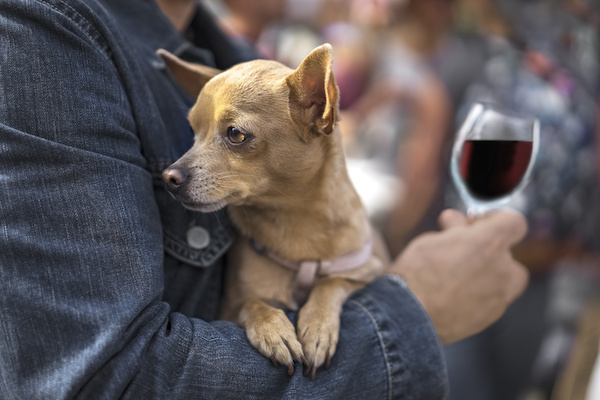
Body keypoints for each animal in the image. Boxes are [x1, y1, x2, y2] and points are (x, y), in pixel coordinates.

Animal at [158, 44, 384, 378]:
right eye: (193, 131)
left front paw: (318, 326)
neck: (294, 224)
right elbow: (251, 303)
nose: (169, 177)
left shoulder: (372, 270)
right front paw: (273, 329)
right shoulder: (227, 307)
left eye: (236, 134)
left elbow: (333, 281)